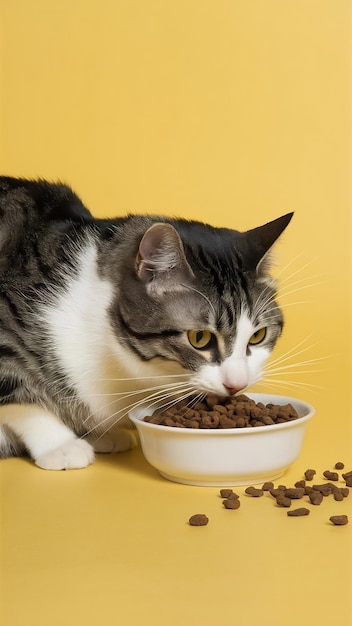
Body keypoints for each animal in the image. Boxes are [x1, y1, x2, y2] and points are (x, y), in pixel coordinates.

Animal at [0, 176, 292, 468]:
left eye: (258, 335)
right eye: (200, 338)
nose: (237, 385)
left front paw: (98, 434)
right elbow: (21, 398)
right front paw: (60, 444)